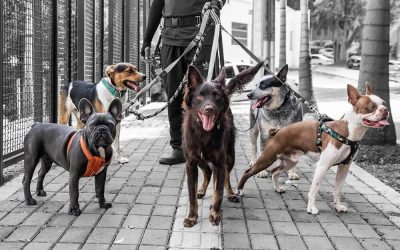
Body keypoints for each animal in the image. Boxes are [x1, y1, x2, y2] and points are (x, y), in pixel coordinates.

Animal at [182, 62, 264, 227]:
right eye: (200, 96)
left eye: (217, 96)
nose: (209, 109)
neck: (204, 133)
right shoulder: (191, 163)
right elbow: (191, 195)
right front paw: (192, 217)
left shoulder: (219, 163)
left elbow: (218, 191)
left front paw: (215, 213)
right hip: (201, 159)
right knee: (207, 172)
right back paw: (201, 190)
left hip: (229, 156)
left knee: (225, 176)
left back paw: (231, 193)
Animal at [236, 83, 390, 214]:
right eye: (371, 107)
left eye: (383, 103)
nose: (386, 110)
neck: (348, 132)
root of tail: (277, 131)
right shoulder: (322, 166)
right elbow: (314, 189)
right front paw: (311, 208)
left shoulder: (344, 167)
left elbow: (337, 189)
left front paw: (338, 206)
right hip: (267, 157)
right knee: (248, 172)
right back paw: (239, 191)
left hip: (290, 161)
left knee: (274, 172)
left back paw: (278, 188)